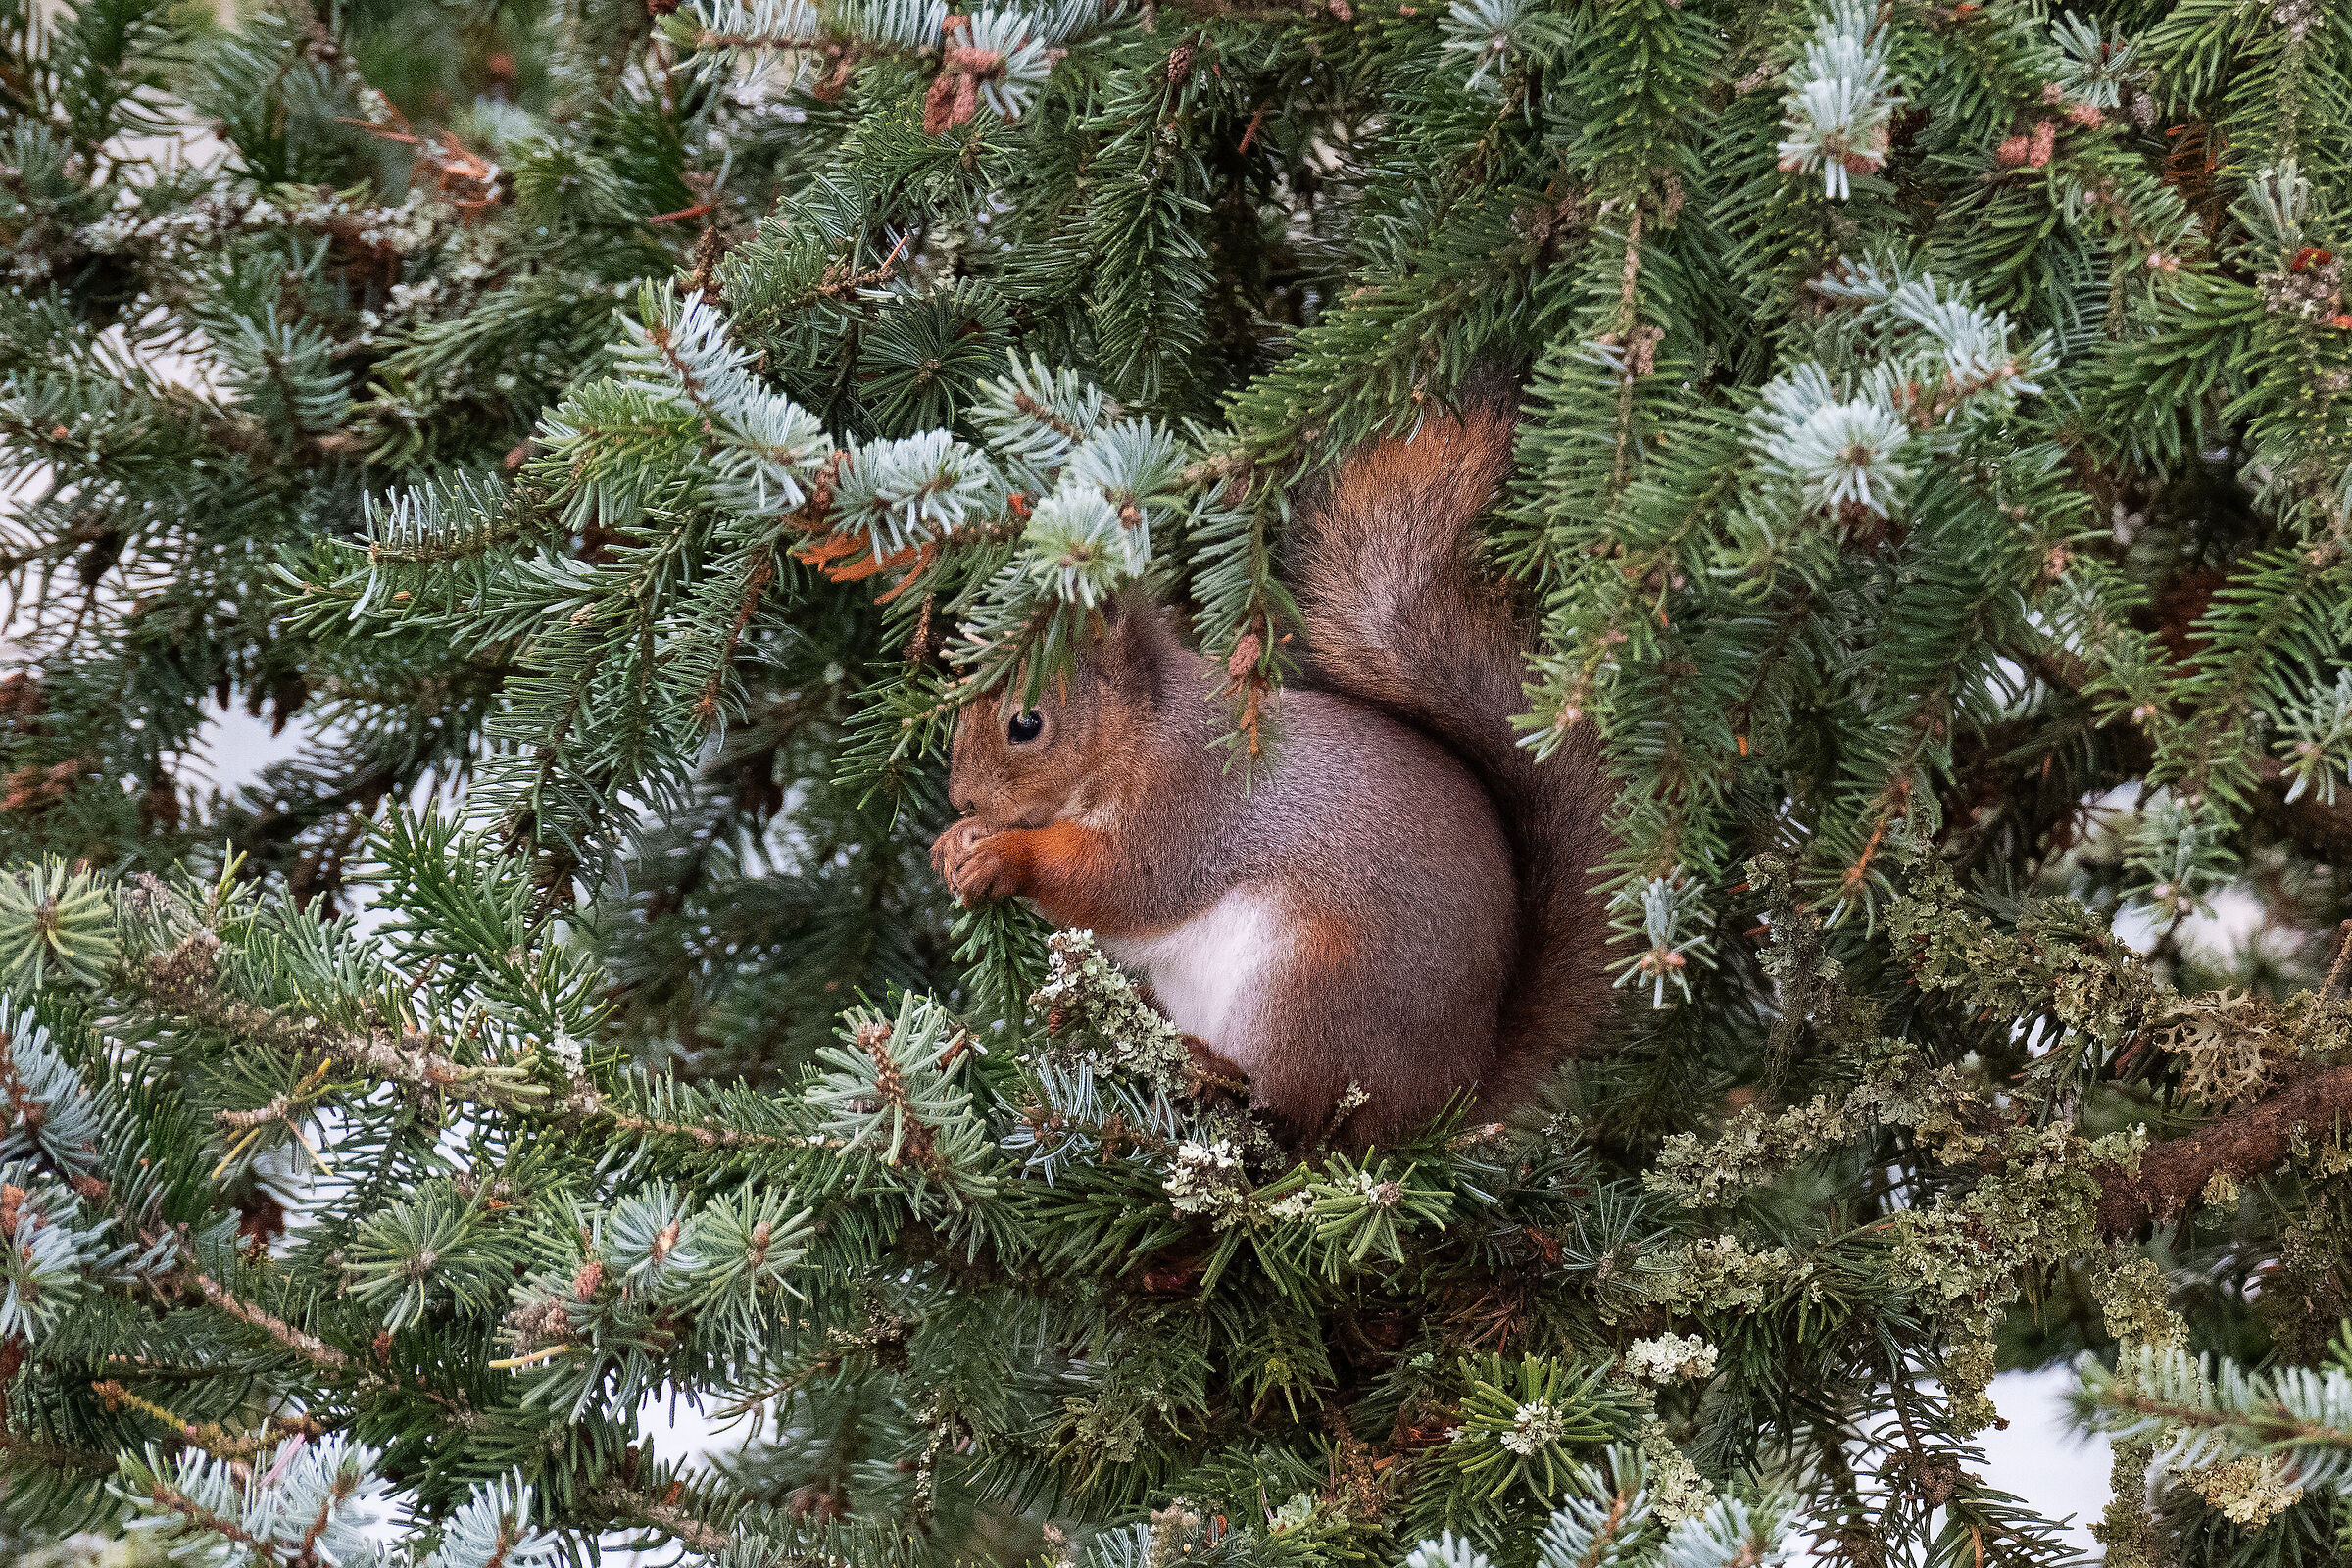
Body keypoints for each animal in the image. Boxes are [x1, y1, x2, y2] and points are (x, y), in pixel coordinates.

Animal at [930, 387, 1611, 1145]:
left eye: (1026, 725)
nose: (961, 800)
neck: (1139, 737)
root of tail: (1442, 1103)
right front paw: (951, 845)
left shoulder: (1188, 808)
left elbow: (1120, 886)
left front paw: (1003, 855)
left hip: (1309, 992)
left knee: (1296, 1108)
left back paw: (1212, 1067)